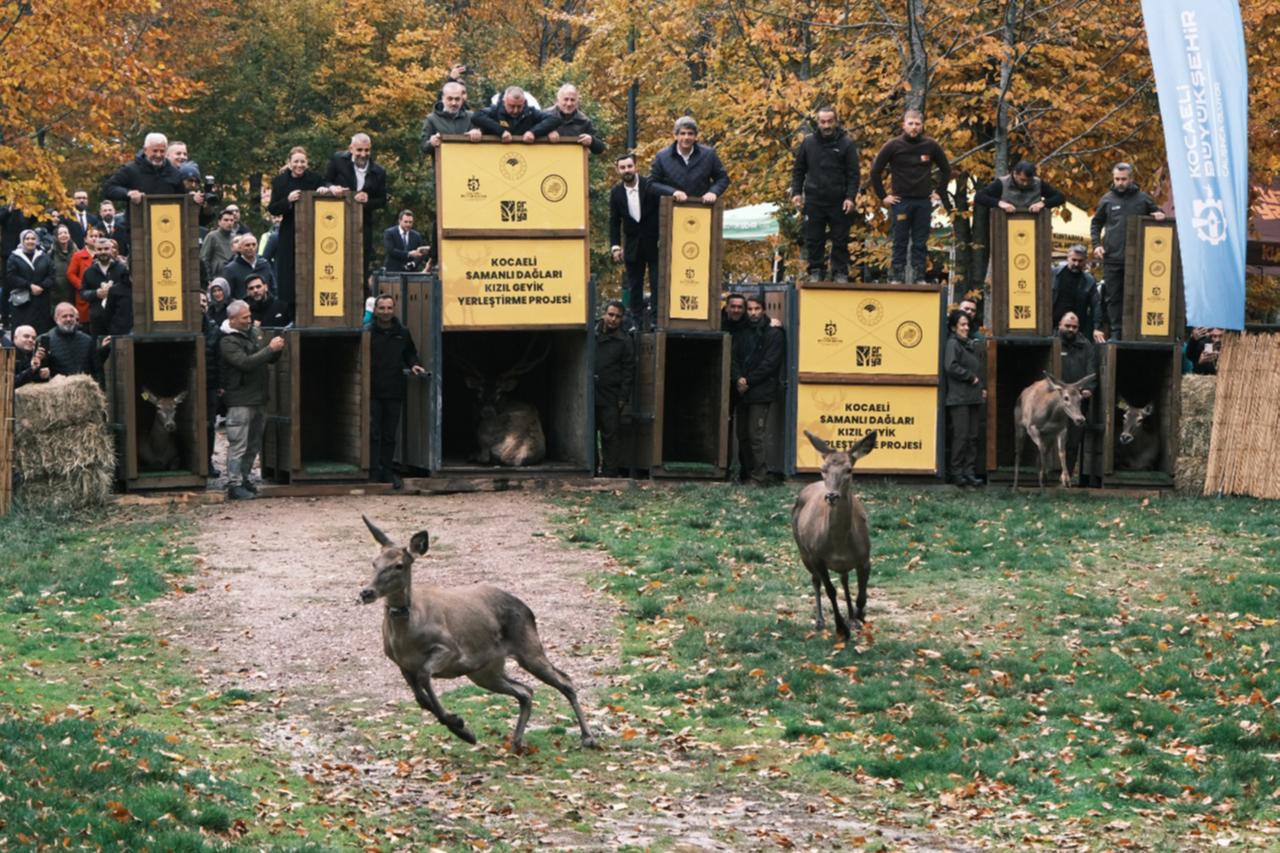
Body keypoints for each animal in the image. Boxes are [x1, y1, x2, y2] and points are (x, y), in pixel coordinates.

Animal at [357, 516, 596, 751]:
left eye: (399, 565)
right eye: (374, 562)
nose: (366, 592)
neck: (405, 639)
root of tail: (528, 610)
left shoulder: (450, 649)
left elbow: (425, 676)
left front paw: (462, 728)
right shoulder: (402, 664)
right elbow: (421, 699)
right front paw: (463, 730)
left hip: (528, 646)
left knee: (564, 680)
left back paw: (588, 738)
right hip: (485, 671)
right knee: (525, 690)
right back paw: (517, 742)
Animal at [791, 430, 878, 640]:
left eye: (849, 470)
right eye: (823, 469)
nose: (831, 496)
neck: (839, 544)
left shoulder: (865, 557)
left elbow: (862, 596)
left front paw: (859, 618)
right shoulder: (817, 556)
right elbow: (830, 590)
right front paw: (841, 629)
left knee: (845, 580)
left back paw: (852, 618)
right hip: (803, 551)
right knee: (816, 580)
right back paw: (820, 621)